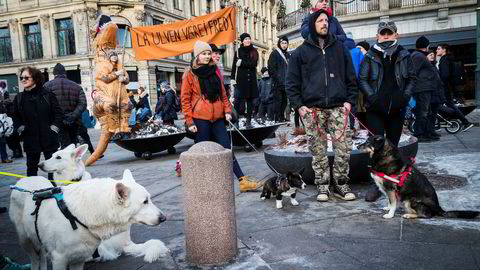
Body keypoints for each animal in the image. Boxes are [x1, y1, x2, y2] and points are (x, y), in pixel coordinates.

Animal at [9, 169, 167, 270]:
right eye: (145, 201)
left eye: (149, 199)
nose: (164, 218)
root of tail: (24, 179)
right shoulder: (59, 259)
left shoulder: (78, 259)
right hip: (25, 240)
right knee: (35, 259)